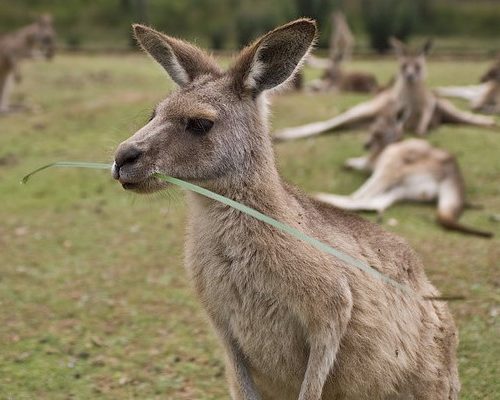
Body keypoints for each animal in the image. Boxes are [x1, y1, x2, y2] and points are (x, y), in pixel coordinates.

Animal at [274, 38, 495, 142]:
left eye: (418, 66)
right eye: (403, 65)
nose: (410, 76)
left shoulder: (431, 106)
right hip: (365, 110)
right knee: (330, 123)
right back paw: (283, 135)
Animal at [318, 109, 493, 238]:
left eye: (377, 132)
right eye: (371, 130)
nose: (365, 145)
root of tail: (450, 168)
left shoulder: (380, 158)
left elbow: (365, 164)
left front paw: (351, 163)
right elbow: (362, 163)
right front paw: (348, 163)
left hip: (395, 162)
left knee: (359, 196)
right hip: (405, 189)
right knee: (373, 201)